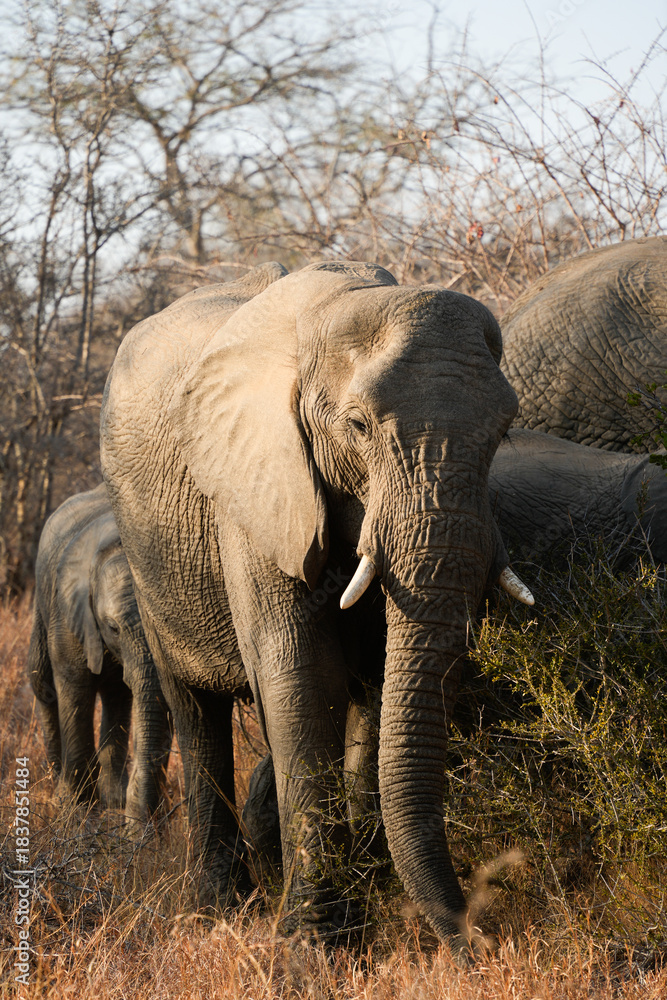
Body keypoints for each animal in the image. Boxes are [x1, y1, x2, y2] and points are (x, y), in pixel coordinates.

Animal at [28, 484, 172, 825]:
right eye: (113, 627)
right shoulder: (67, 610)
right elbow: (74, 688)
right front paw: (74, 811)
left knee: (116, 695)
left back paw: (113, 800)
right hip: (43, 602)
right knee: (43, 683)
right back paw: (58, 784)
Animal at [100, 258, 533, 944]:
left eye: (504, 432)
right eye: (356, 427)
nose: (477, 941)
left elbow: (378, 677)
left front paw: (373, 907)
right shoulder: (256, 489)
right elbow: (304, 673)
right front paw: (316, 944)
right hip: (146, 554)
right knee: (194, 710)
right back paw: (217, 908)